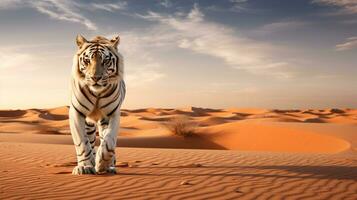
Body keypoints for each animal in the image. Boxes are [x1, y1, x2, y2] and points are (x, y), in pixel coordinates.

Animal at [69, 34, 125, 175]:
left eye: (106, 61)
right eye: (87, 60)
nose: (95, 78)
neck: (97, 93)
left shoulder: (113, 114)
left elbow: (109, 142)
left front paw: (102, 164)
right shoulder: (76, 112)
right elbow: (82, 142)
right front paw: (85, 166)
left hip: (103, 120)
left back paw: (109, 166)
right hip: (89, 124)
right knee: (90, 140)